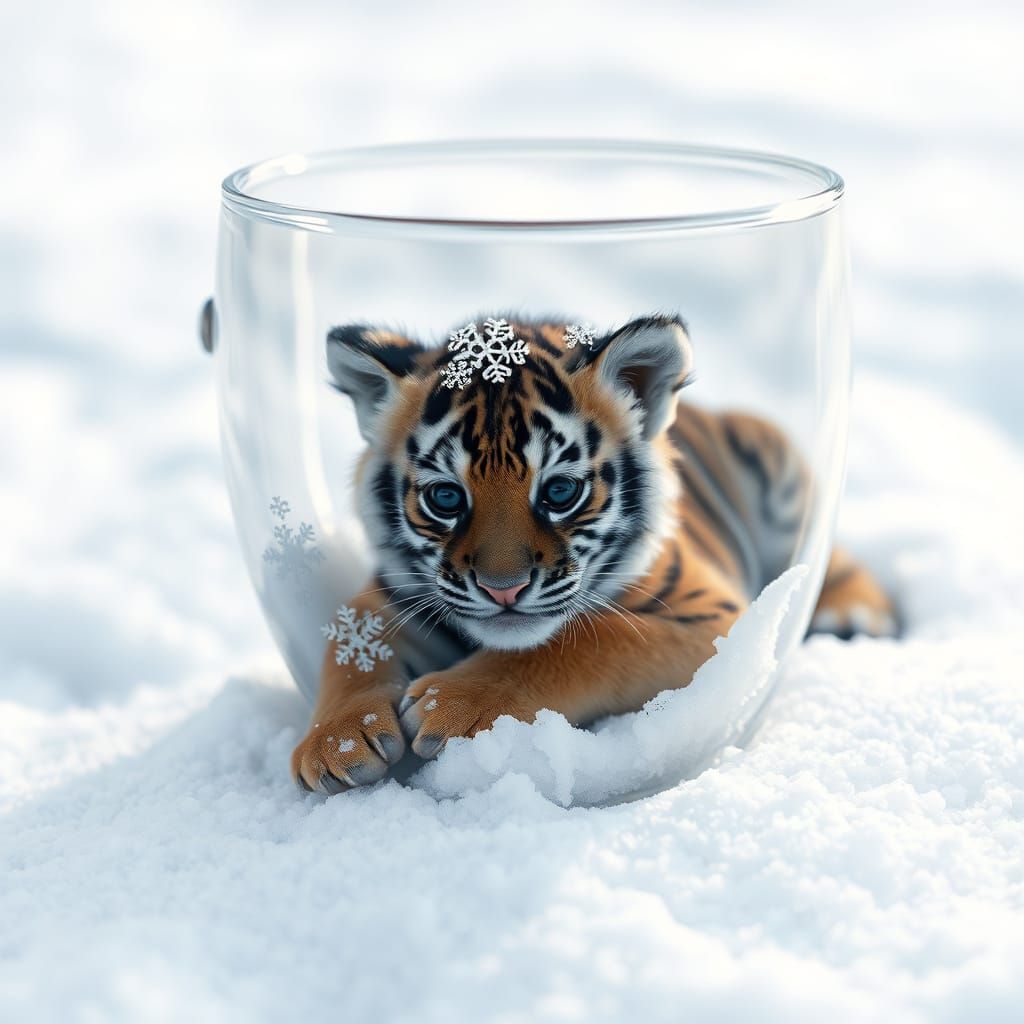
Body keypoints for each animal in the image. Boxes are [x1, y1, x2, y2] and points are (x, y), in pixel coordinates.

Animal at [291, 314, 896, 794]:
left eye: (560, 492)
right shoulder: (397, 593)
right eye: (446, 498)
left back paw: (853, 615)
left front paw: (453, 703)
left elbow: (588, 638)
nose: (503, 589)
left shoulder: (713, 618)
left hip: (778, 462)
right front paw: (335, 742)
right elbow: (349, 637)